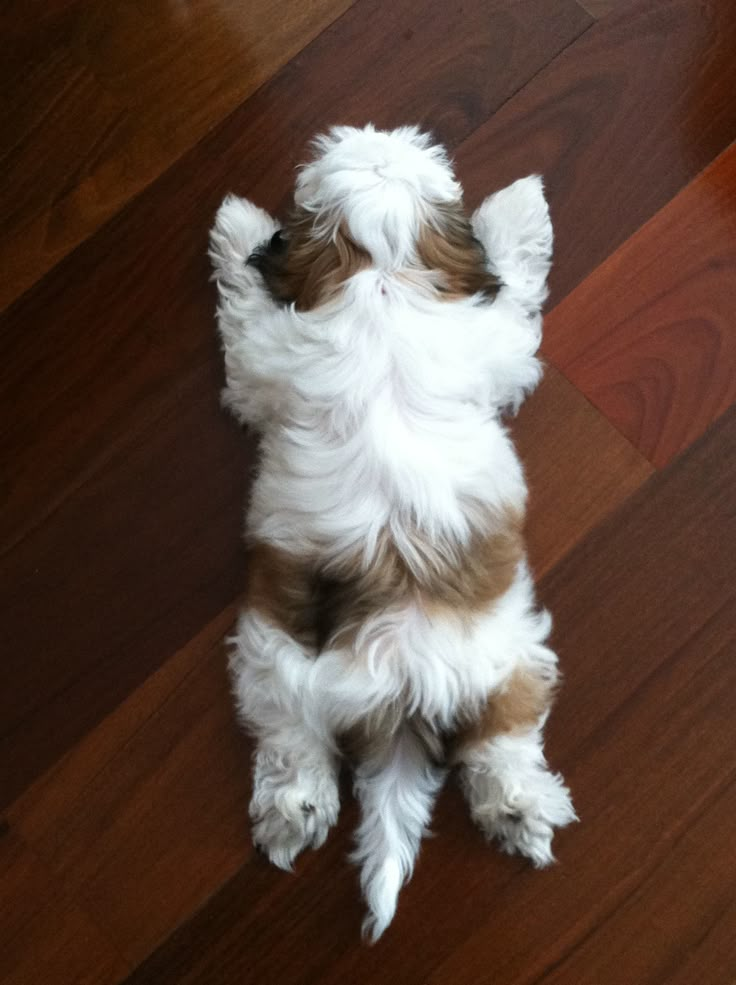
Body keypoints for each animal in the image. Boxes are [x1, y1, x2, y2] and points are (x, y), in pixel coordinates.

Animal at [207, 123, 576, 936]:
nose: (372, 131)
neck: (377, 272)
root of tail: (399, 685)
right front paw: (239, 228)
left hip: (425, 659)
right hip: (324, 657)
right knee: (315, 741)